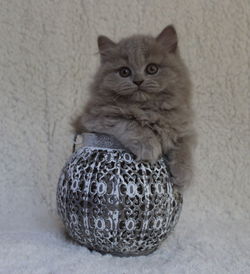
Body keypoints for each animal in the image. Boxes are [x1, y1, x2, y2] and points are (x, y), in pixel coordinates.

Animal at [72, 25, 195, 188]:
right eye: (124, 72)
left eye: (152, 69)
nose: (138, 81)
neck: (147, 109)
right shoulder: (94, 119)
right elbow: (131, 123)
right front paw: (148, 146)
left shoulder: (182, 128)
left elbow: (184, 147)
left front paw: (183, 174)